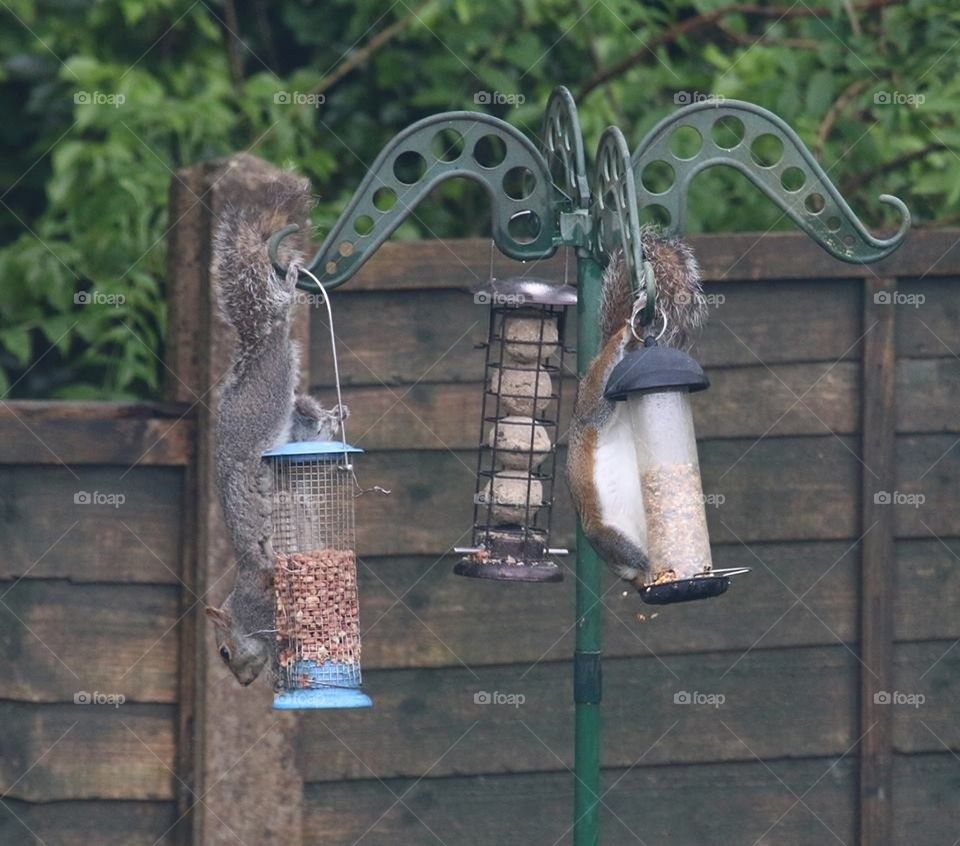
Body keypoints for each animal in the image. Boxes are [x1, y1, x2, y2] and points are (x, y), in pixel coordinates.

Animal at [204, 175, 349, 686]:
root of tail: (255, 346)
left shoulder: (263, 607)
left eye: (224, 652)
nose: (243, 683)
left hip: (272, 387)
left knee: (282, 310)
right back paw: (332, 422)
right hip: (289, 412)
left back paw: (286, 283)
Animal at [567, 230, 707, 587]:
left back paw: (629, 329)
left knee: (619, 343)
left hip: (598, 399)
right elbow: (627, 550)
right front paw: (648, 564)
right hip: (596, 405)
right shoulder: (606, 534)